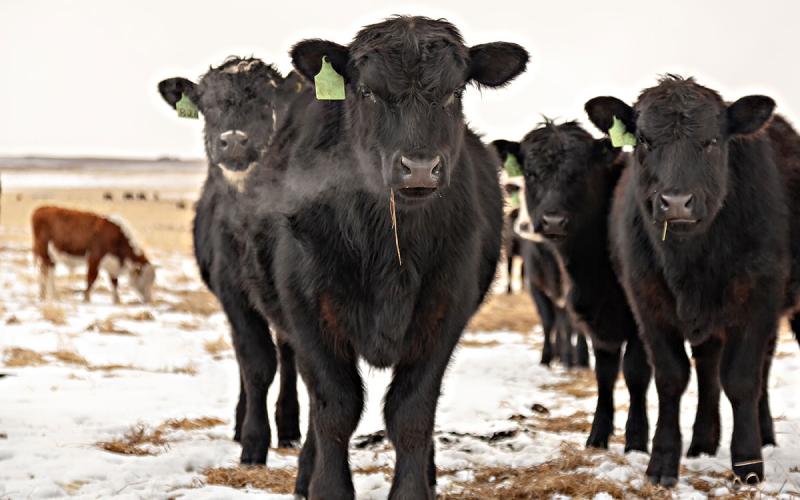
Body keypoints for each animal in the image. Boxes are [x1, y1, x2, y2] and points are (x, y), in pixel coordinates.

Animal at [158, 57, 309, 463]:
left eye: (268, 101)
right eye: (207, 105)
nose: (234, 140)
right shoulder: (232, 290)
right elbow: (255, 362)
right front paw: (253, 442)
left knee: (287, 351)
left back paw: (289, 426)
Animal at [236, 16, 528, 499]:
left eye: (454, 91)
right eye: (367, 91)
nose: (419, 167)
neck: (390, 252)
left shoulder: (444, 314)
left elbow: (411, 414)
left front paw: (413, 489)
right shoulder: (308, 314)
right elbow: (335, 409)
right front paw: (327, 488)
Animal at [493, 122, 652, 455]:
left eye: (579, 172)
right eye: (531, 173)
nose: (552, 221)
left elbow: (635, 373)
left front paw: (636, 440)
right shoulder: (593, 313)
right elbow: (604, 373)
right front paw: (597, 436)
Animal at [585, 75, 800, 485]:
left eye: (712, 140)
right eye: (644, 140)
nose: (676, 202)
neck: (690, 263)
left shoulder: (758, 298)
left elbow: (742, 378)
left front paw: (748, 462)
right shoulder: (647, 301)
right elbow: (672, 377)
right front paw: (662, 462)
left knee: (756, 369)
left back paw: (762, 435)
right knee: (706, 368)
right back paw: (702, 441)